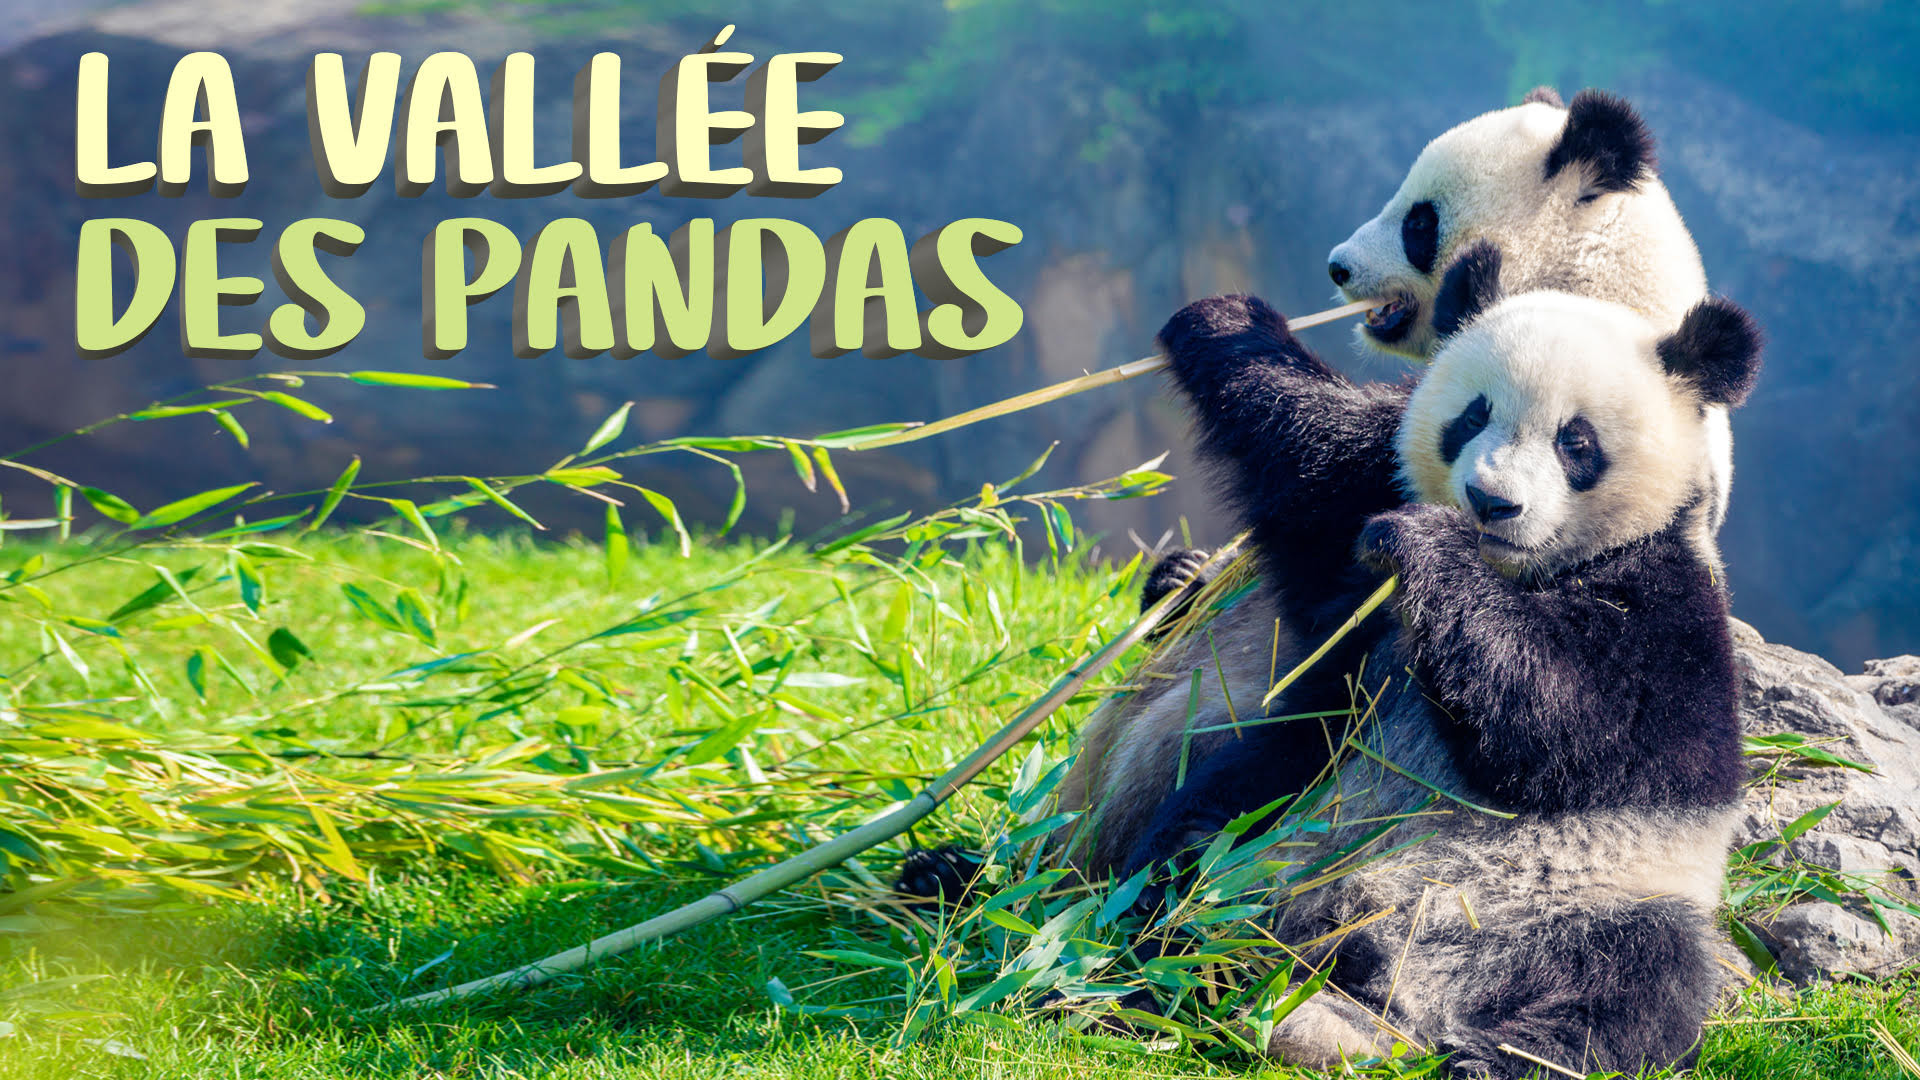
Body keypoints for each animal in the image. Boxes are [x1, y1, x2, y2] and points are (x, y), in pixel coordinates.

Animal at [1047, 87, 1730, 881]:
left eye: (1418, 222)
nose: (1337, 268)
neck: (1609, 291)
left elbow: (1325, 466)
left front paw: (1222, 318)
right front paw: (1178, 573)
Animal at [1112, 247, 1761, 1078]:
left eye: (1576, 442)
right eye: (1472, 416)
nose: (1491, 503)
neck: (1519, 572)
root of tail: (1392, 997)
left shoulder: (1669, 614)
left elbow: (1571, 722)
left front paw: (1428, 544)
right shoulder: (1362, 534)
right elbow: (1314, 457)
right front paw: (1225, 320)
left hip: (1602, 895)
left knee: (1636, 988)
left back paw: (1493, 1057)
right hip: (1287, 808)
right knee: (1196, 843)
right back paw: (1170, 959)